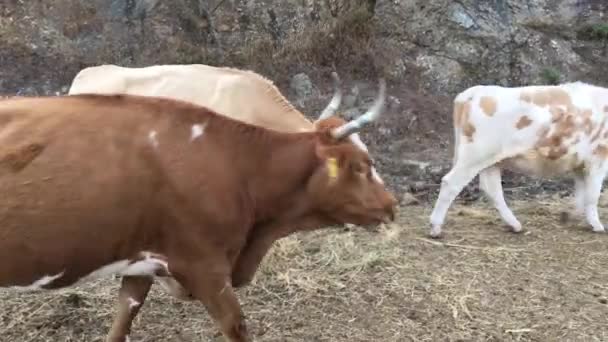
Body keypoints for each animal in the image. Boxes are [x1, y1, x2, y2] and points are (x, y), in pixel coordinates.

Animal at [0, 82, 394, 340]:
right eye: (361, 165)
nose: (391, 207)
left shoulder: (143, 261)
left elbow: (121, 323)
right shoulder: (205, 266)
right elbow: (237, 326)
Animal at [430, 82, 608, 238]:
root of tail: (473, 92)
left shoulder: (580, 163)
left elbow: (581, 192)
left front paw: (570, 215)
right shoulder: (599, 158)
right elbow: (592, 194)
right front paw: (597, 225)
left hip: (490, 159)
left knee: (492, 189)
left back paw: (514, 225)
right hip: (475, 154)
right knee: (451, 182)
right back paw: (435, 227)